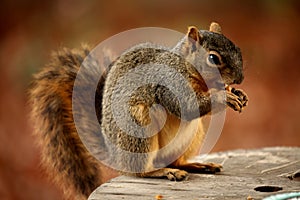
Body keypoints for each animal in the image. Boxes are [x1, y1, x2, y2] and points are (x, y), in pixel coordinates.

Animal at [28, 22, 248, 200]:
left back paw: (197, 165)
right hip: (139, 128)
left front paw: (238, 93)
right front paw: (224, 97)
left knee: (177, 161)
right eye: (213, 58)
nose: (240, 79)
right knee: (140, 171)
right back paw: (161, 172)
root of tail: (115, 156)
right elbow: (186, 106)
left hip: (191, 136)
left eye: (238, 49)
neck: (186, 65)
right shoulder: (168, 83)